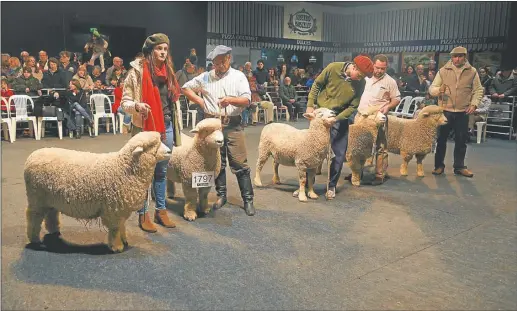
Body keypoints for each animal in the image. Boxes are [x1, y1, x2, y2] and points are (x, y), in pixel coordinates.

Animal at [24, 132, 171, 254]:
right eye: (153, 144)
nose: (170, 151)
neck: (124, 167)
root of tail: (32, 156)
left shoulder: (120, 208)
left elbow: (121, 225)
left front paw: (124, 240)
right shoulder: (113, 209)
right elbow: (115, 228)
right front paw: (117, 246)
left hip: (50, 198)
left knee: (51, 213)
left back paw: (54, 230)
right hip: (36, 197)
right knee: (34, 217)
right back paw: (34, 238)